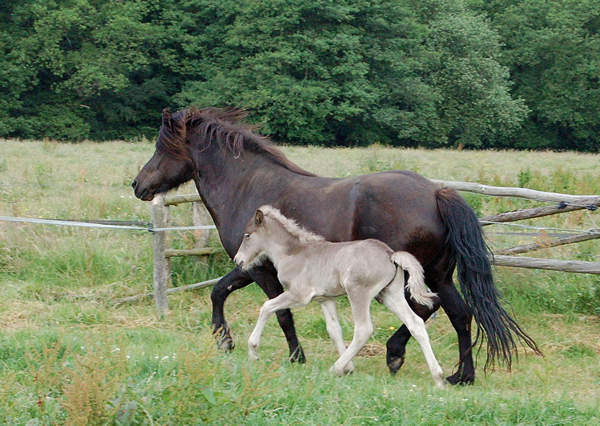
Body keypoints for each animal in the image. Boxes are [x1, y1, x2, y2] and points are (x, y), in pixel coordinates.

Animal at [234, 206, 446, 390]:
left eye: (247, 235)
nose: (238, 260)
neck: (293, 253)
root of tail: (390, 254)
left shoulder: (298, 295)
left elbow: (267, 306)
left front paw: (253, 352)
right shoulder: (325, 299)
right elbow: (334, 330)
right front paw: (349, 367)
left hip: (358, 292)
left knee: (363, 329)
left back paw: (335, 368)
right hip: (390, 295)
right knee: (415, 323)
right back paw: (438, 378)